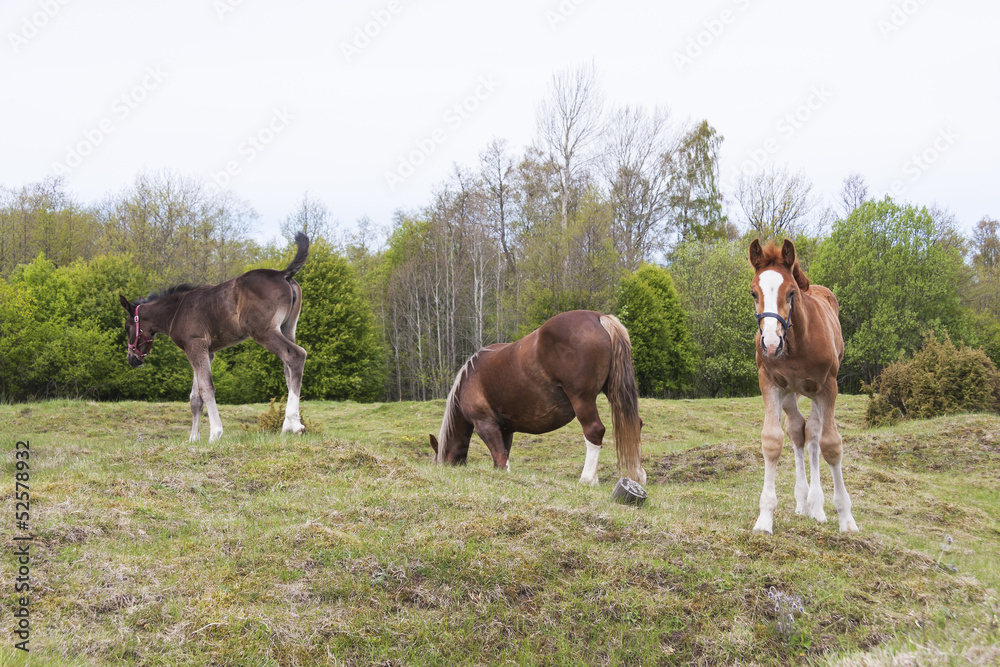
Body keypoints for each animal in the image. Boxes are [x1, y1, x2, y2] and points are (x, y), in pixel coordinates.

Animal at [119, 232, 310, 443]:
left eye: (127, 327)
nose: (132, 359)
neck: (176, 310)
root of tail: (283, 274)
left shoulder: (195, 346)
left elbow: (206, 389)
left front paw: (215, 433)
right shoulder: (206, 352)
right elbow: (195, 398)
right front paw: (193, 439)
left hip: (263, 331)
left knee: (295, 355)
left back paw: (293, 423)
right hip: (287, 329)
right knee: (288, 368)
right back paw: (290, 425)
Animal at [429, 310, 646, 485]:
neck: (468, 378)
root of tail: (597, 317)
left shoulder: (485, 425)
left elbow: (500, 459)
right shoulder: (506, 430)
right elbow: (503, 455)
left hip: (582, 399)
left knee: (594, 431)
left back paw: (587, 478)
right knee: (635, 424)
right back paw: (637, 474)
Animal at [748, 238, 858, 533]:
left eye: (791, 292)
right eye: (753, 293)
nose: (771, 344)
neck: (798, 342)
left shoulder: (828, 388)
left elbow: (831, 444)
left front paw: (846, 518)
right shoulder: (770, 384)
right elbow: (772, 440)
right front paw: (765, 518)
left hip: (816, 393)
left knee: (814, 436)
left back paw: (817, 506)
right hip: (790, 394)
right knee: (799, 430)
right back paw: (803, 501)